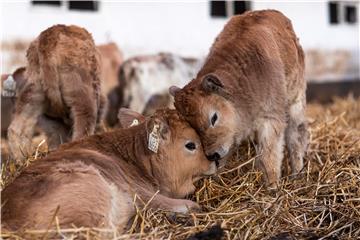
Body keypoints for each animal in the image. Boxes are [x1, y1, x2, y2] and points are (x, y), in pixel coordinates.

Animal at [7, 24, 106, 164]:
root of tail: (49, 36)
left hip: (33, 93)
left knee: (17, 128)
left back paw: (21, 161)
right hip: (82, 97)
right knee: (82, 129)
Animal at [170, 9, 308, 186]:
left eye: (214, 117)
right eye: (191, 126)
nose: (213, 154)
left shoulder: (270, 119)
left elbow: (269, 156)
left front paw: (272, 186)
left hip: (295, 102)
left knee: (296, 136)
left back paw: (297, 173)